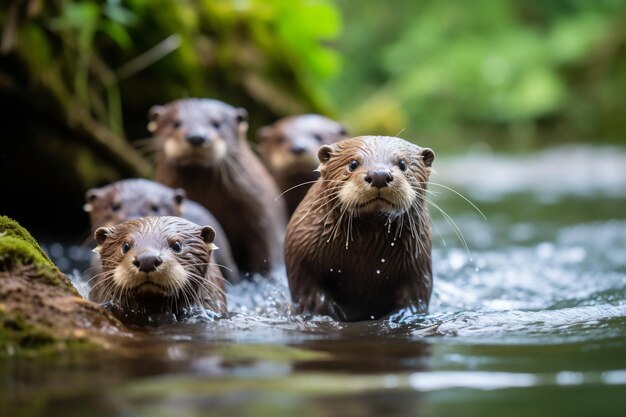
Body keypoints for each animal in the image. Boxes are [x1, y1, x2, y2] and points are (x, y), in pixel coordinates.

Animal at [284, 136, 434, 322]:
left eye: (402, 164)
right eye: (353, 164)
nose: (379, 175)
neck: (363, 256)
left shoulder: (418, 262)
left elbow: (416, 294)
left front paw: (400, 315)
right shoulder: (300, 248)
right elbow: (307, 288)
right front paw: (326, 311)